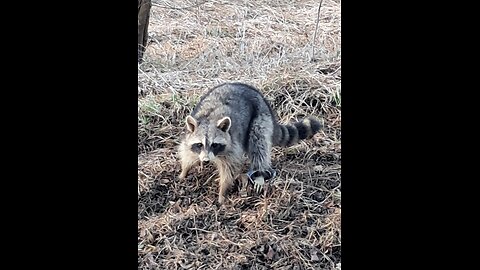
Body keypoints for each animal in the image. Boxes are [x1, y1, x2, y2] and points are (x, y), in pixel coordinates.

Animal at [177, 83, 322, 204]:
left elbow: (230, 169)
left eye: (215, 145)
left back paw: (259, 173)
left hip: (260, 118)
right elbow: (187, 154)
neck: (209, 119)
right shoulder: (190, 139)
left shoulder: (232, 146)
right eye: (199, 144)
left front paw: (222, 191)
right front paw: (184, 171)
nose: (206, 161)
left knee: (258, 143)